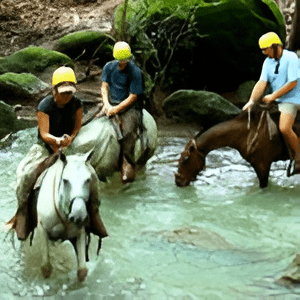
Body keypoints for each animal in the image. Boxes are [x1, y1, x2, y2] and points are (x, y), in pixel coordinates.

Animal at [36, 151, 103, 282]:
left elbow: (82, 271)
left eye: (88, 179)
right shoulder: (42, 229)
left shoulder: (80, 232)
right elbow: (46, 268)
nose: (78, 216)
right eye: (65, 180)